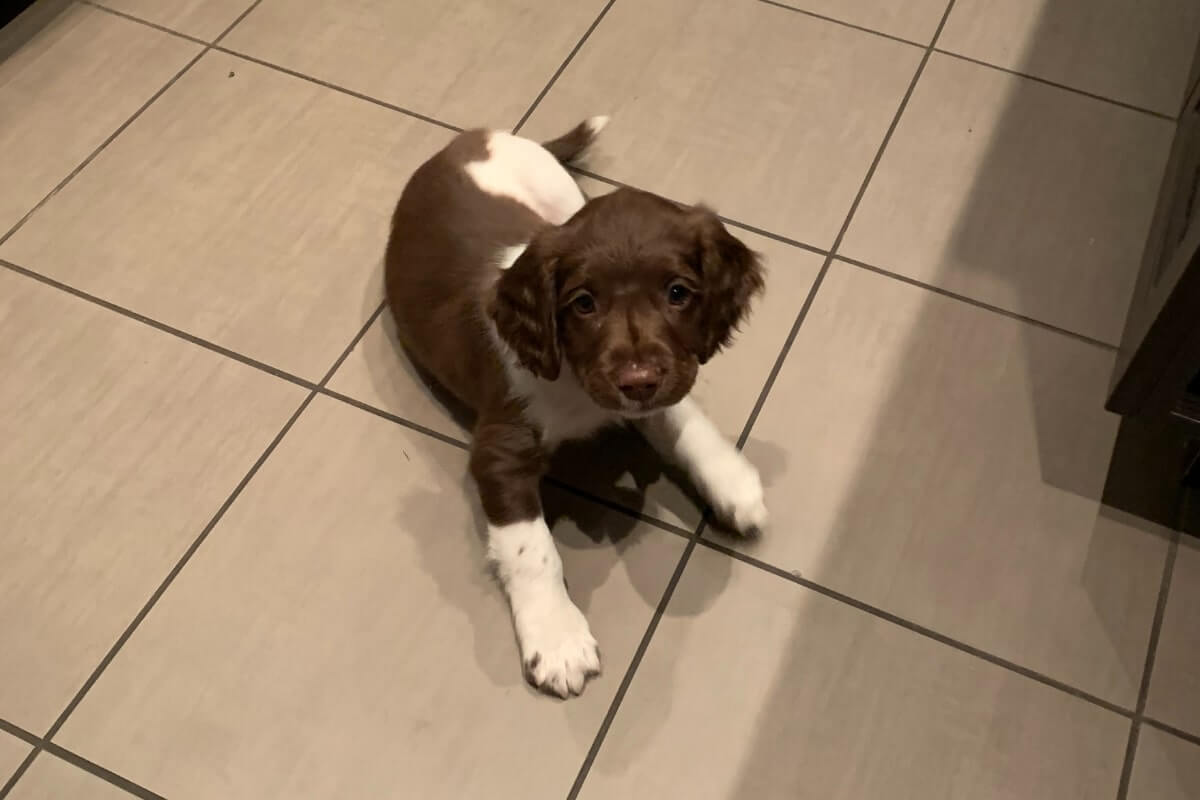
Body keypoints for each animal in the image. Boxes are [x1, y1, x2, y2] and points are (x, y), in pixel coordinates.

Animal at [388, 115, 772, 695]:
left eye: (678, 293)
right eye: (584, 304)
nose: (636, 383)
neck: (573, 378)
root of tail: (475, 136)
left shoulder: (660, 381)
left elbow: (684, 419)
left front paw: (731, 480)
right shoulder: (501, 449)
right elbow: (532, 549)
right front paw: (558, 639)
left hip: (561, 193)